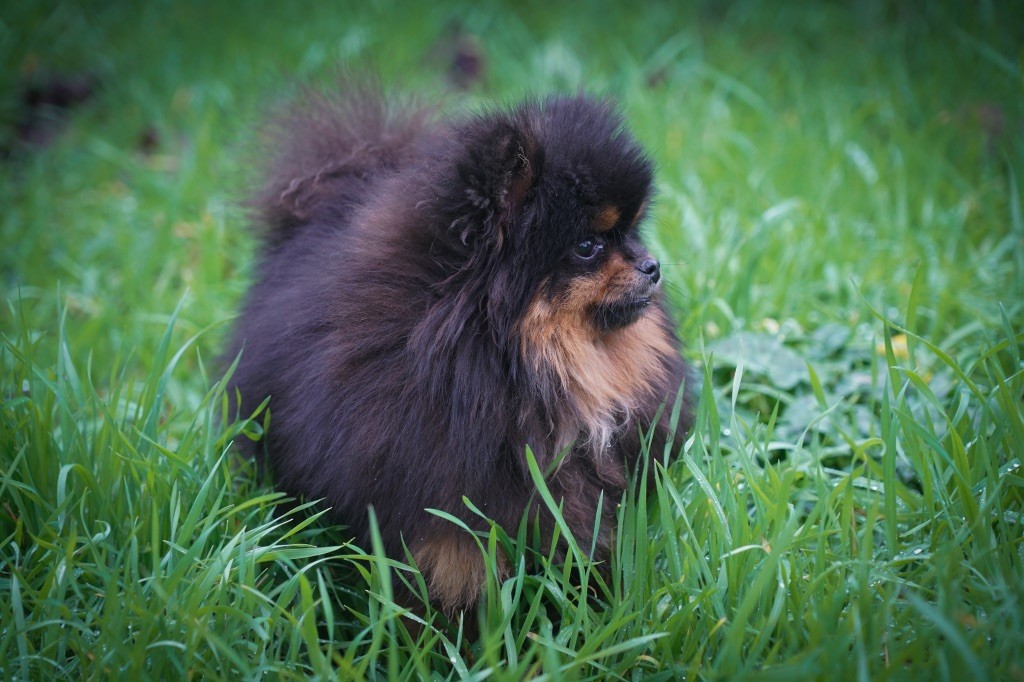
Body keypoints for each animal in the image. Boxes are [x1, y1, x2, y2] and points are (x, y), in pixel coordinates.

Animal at [226, 79, 696, 610]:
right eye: (588, 246)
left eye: (631, 232)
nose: (652, 265)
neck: (508, 358)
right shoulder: (443, 498)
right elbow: (452, 567)